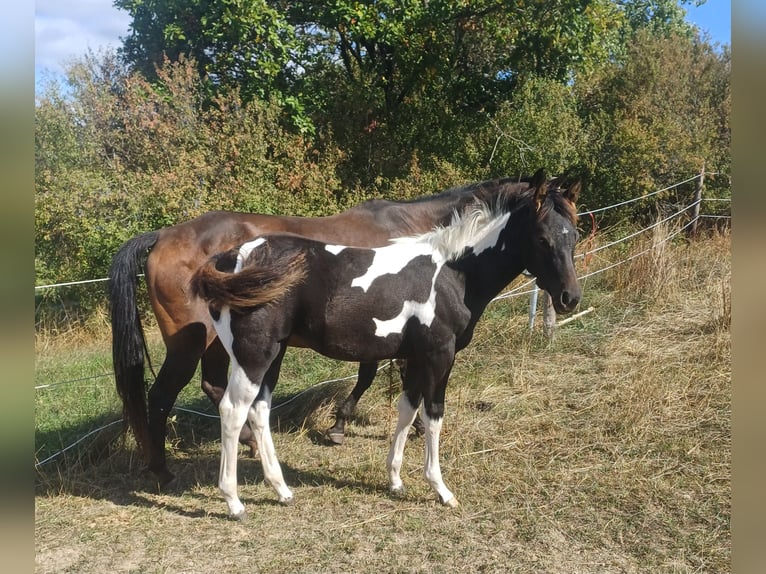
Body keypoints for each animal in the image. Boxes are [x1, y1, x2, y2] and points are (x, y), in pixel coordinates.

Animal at [109, 172, 569, 486]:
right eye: (544, 240)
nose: (568, 297)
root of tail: (163, 235)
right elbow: (380, 376)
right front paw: (348, 427)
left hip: (220, 345)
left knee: (214, 387)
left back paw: (250, 446)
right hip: (190, 345)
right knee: (162, 397)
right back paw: (162, 469)